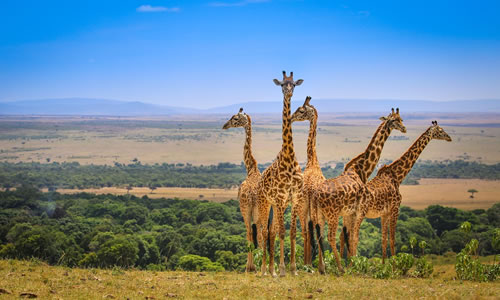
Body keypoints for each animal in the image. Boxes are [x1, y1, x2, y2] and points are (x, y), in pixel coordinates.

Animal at [312, 108, 406, 272]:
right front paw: (354, 265)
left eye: (401, 118)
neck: (361, 169)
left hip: (320, 214)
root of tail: (317, 195)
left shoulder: (350, 212)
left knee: (320, 236)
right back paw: (340, 268)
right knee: (330, 236)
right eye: (394, 120)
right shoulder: (359, 210)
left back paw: (322, 269)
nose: (404, 128)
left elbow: (350, 236)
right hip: (332, 214)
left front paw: (352, 263)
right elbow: (354, 237)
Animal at [342, 120, 452, 262]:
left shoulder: (384, 213)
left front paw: (384, 264)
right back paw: (352, 263)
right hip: (359, 214)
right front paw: (394, 266)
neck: (397, 176)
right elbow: (393, 240)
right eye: (440, 130)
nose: (449, 137)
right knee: (352, 237)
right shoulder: (395, 209)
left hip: (350, 215)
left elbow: (384, 240)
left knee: (346, 237)